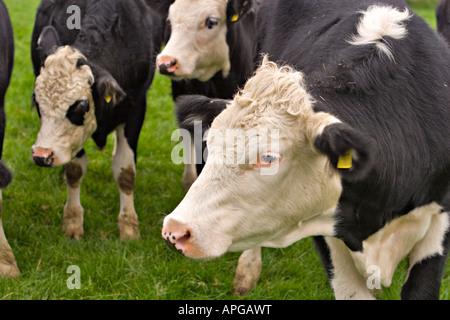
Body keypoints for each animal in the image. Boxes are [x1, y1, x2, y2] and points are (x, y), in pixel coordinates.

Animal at [30, 0, 165, 240]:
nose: (41, 155)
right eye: (37, 102)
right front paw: (73, 223)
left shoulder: (136, 107)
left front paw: (128, 227)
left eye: (80, 106)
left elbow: (125, 171)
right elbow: (74, 170)